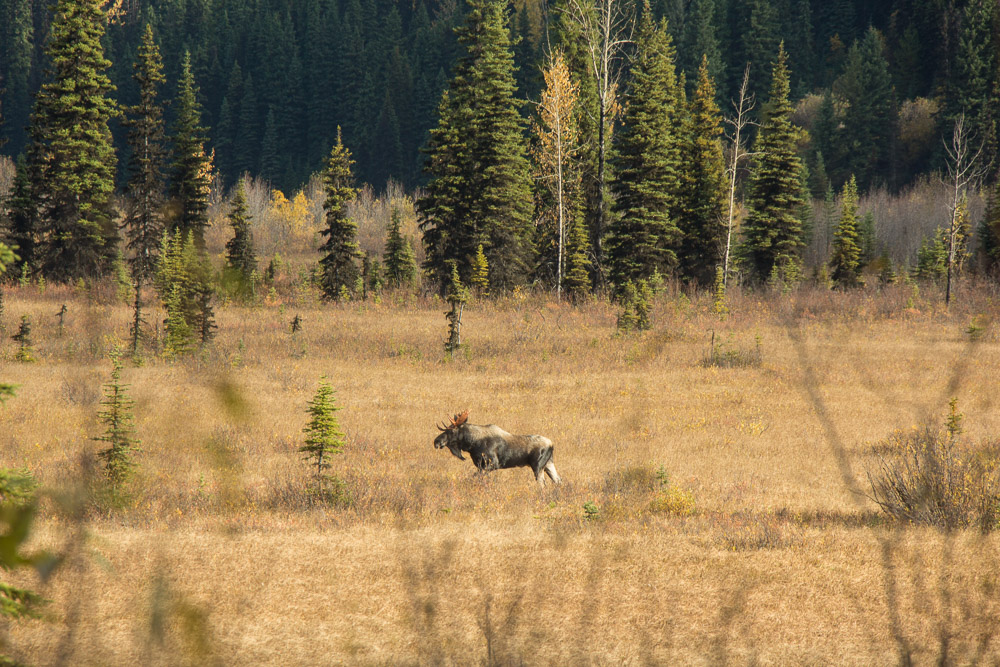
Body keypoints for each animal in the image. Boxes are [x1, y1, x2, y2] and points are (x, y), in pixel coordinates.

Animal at [434, 410, 564, 488]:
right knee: (558, 480)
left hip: (538, 466)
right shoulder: (481, 465)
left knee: (543, 484)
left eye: (451, 430)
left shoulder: (493, 463)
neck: (472, 443)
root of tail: (551, 444)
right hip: (548, 464)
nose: (436, 441)